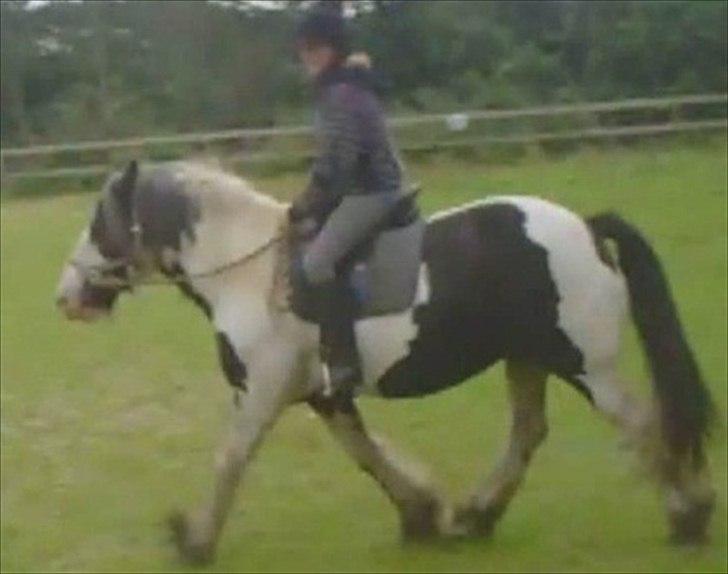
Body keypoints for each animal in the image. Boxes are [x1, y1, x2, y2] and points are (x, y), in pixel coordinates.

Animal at [57, 160, 716, 564]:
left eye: (98, 221)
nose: (65, 296)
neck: (247, 273)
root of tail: (584, 226)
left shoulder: (262, 391)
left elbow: (231, 459)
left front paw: (194, 541)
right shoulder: (324, 393)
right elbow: (367, 455)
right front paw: (421, 515)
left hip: (585, 365)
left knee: (642, 426)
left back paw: (689, 518)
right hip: (526, 357)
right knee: (529, 432)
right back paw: (477, 516)